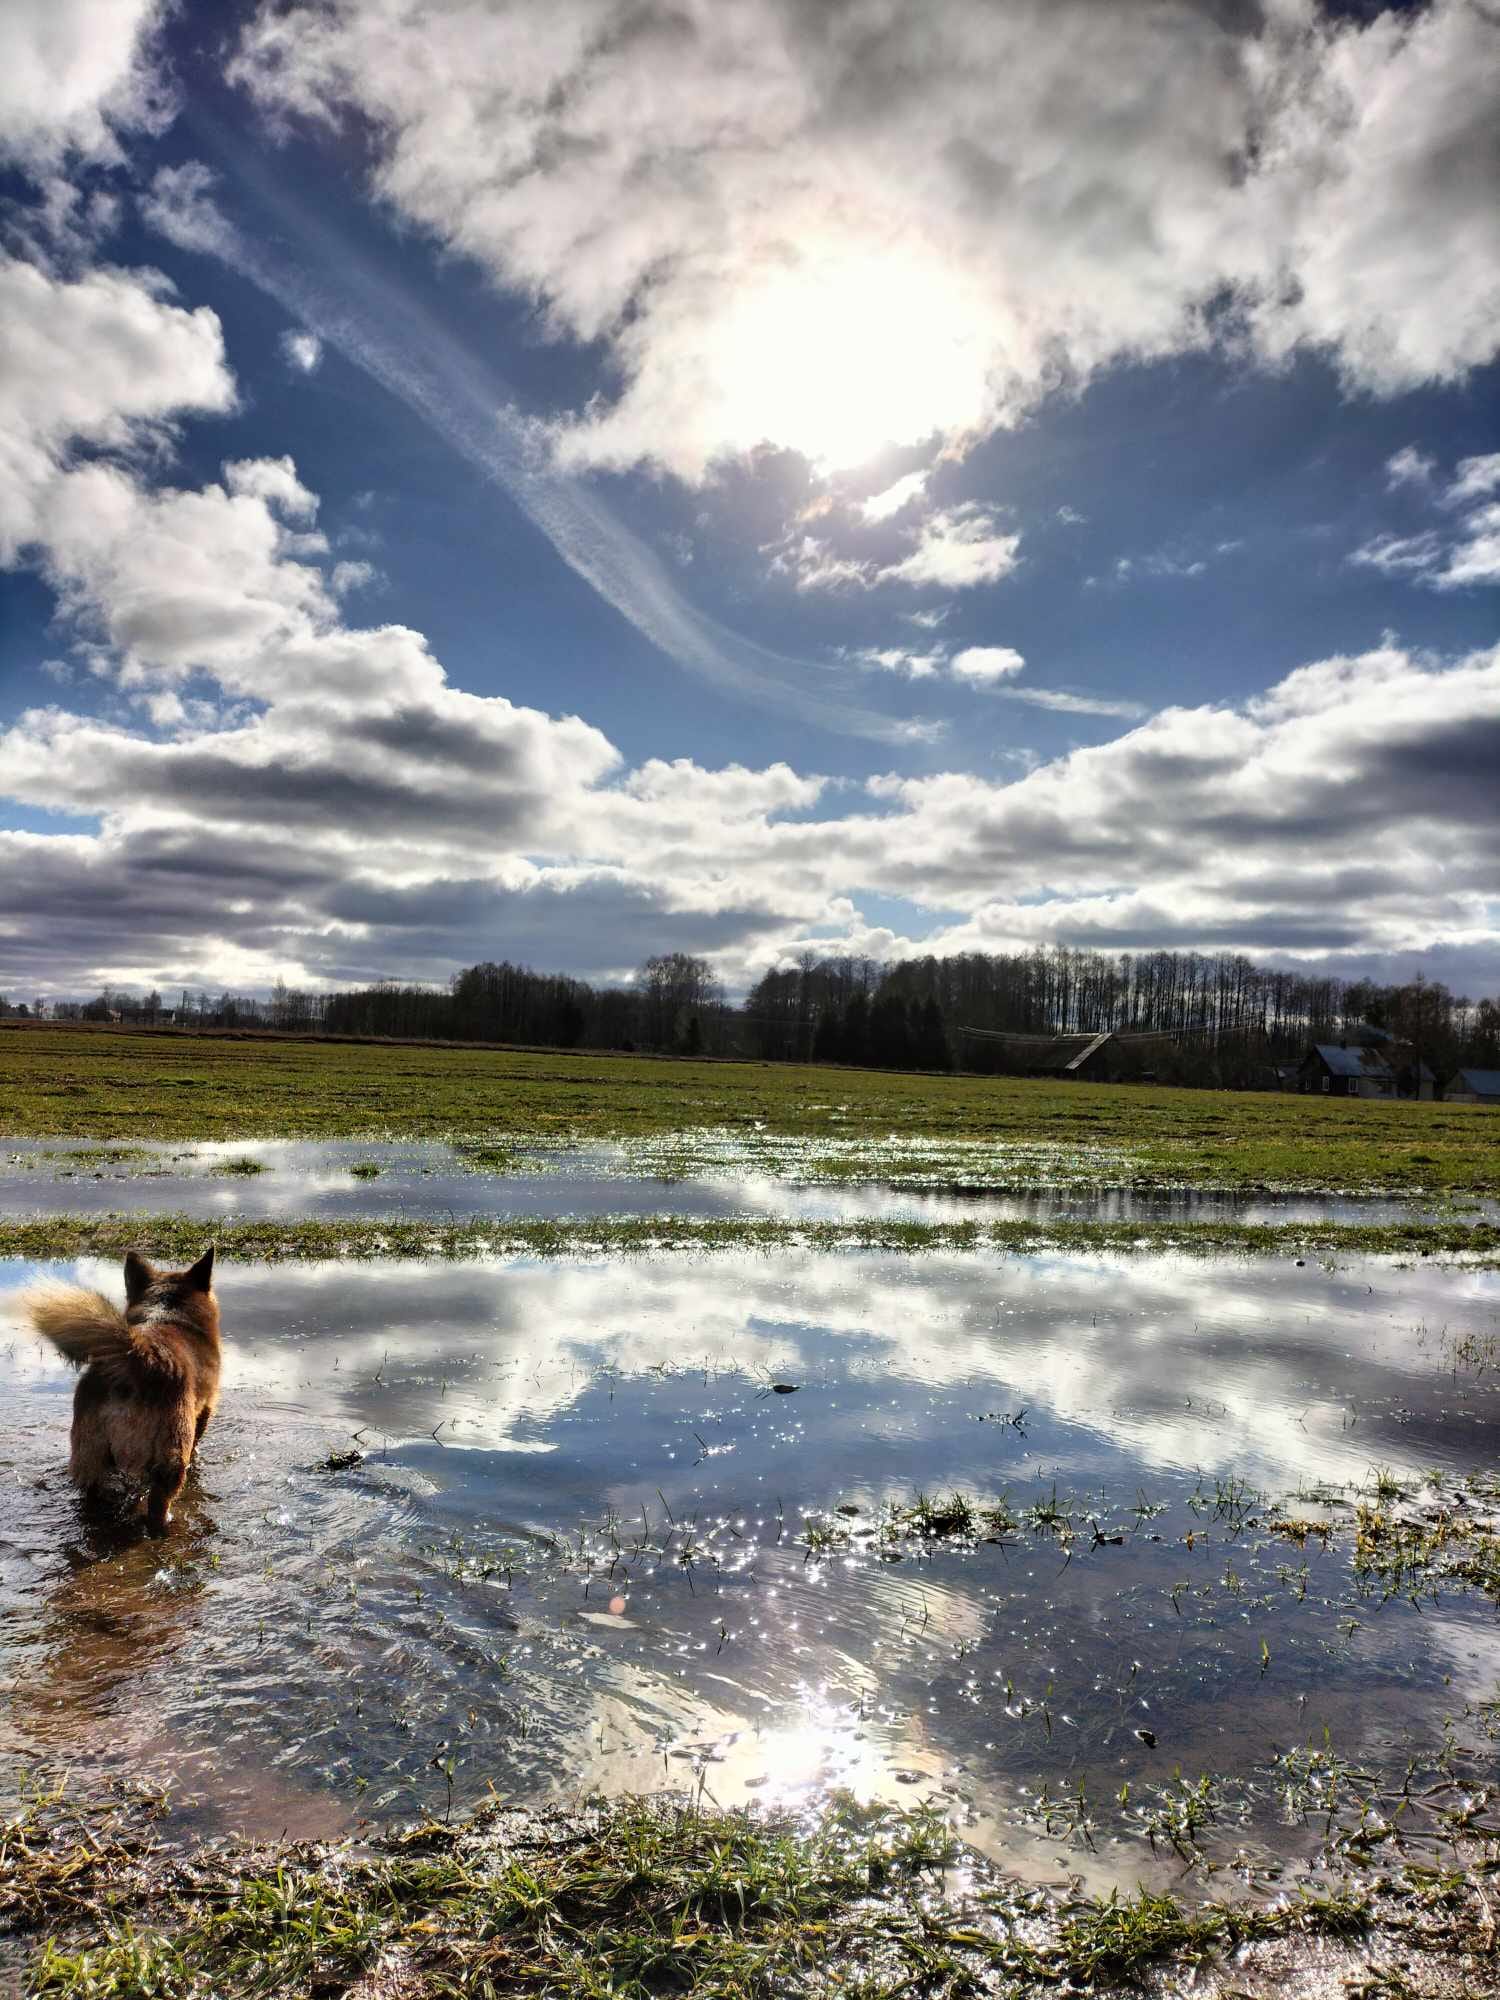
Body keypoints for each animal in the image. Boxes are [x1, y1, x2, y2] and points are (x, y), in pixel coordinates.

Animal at [25, 1248, 220, 1528]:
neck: (166, 1311)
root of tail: (140, 1357)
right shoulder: (205, 1409)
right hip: (171, 1455)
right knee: (158, 1505)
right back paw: (164, 1523)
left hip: (89, 1454)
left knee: (90, 1494)